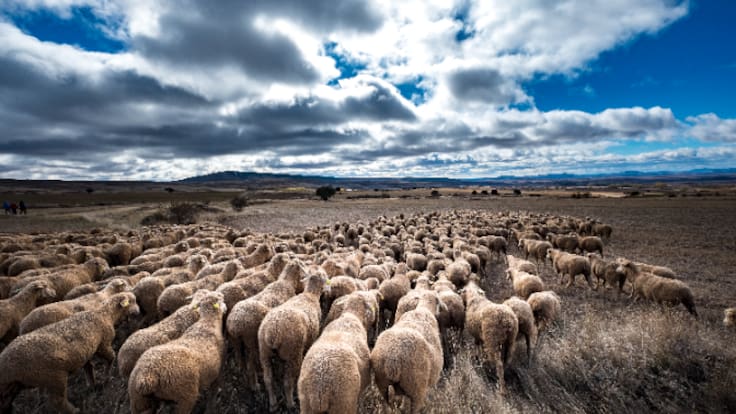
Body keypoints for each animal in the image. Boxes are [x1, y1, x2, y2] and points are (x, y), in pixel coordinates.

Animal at [0, 292, 139, 414]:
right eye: (132, 301)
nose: (138, 312)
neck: (105, 314)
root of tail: (5, 364)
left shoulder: (85, 352)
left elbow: (89, 368)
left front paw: (92, 384)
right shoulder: (103, 344)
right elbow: (111, 358)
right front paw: (107, 378)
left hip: (14, 386)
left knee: (6, 403)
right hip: (53, 377)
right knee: (58, 402)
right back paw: (75, 410)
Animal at [226, 259, 307, 390]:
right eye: (302, 265)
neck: (286, 282)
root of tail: (234, 325)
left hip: (236, 341)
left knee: (240, 360)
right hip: (250, 340)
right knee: (250, 366)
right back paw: (255, 385)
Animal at [259, 274, 328, 411]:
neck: (310, 294)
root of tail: (273, 332)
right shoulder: (310, 340)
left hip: (264, 352)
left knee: (268, 379)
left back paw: (273, 403)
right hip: (293, 353)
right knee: (288, 382)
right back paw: (290, 403)